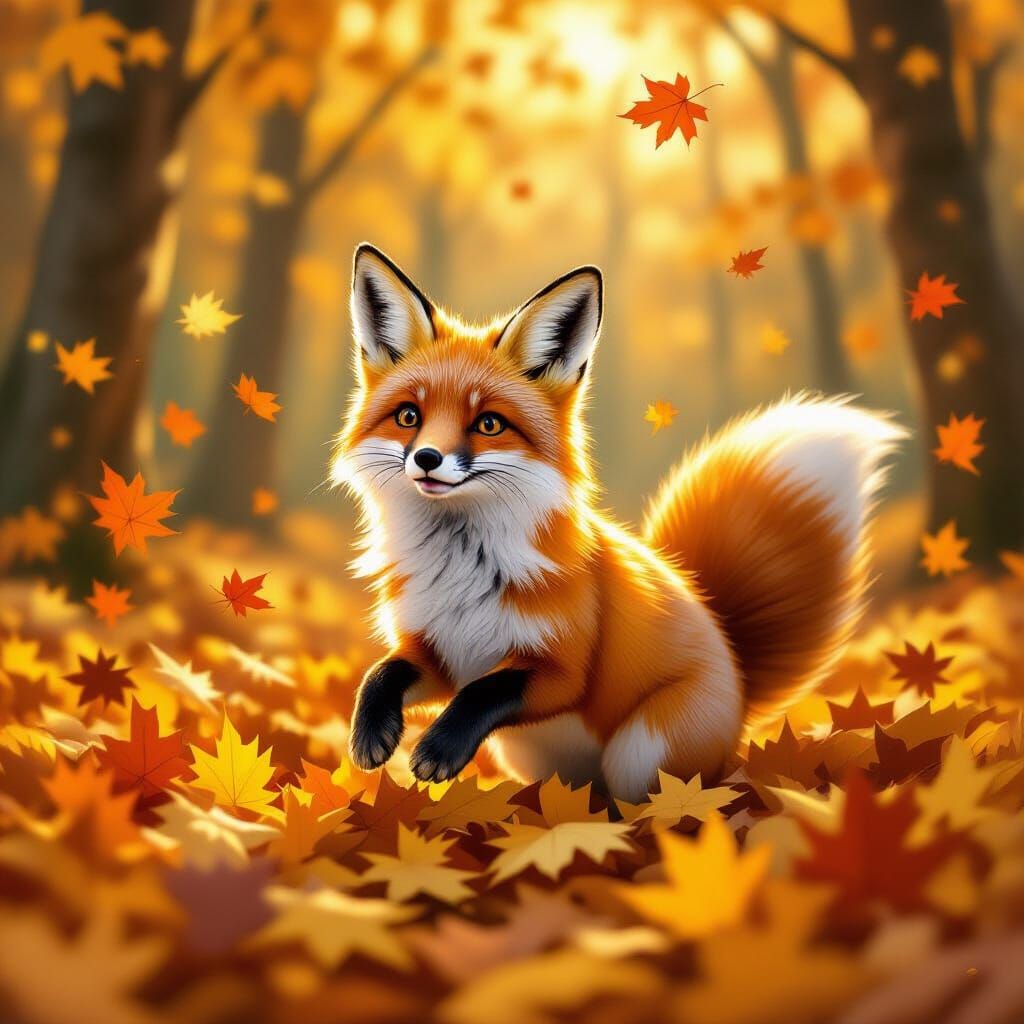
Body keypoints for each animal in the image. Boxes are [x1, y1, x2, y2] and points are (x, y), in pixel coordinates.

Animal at [330, 243, 905, 802]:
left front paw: (439, 749)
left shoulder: (564, 670)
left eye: (488, 424)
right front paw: (370, 733)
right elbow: (382, 673)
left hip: (640, 753)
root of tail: (736, 668)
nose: (427, 458)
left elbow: (484, 690)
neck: (462, 569)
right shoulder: (439, 652)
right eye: (409, 416)